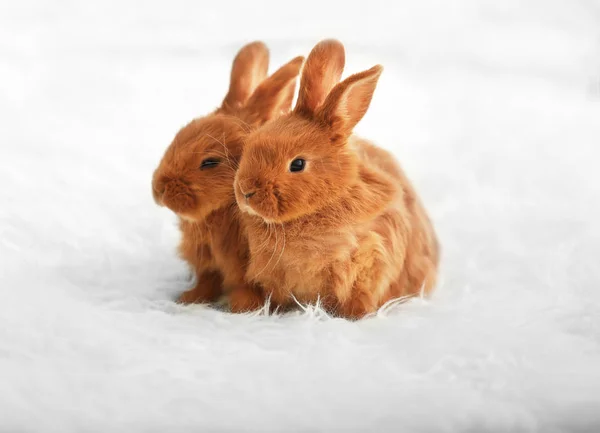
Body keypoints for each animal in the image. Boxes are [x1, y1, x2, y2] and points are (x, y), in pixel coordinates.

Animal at [152, 40, 302, 308]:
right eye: (178, 136)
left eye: (210, 162)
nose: (159, 189)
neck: (220, 211)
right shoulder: (206, 259)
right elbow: (207, 280)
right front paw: (189, 299)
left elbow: (246, 285)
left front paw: (243, 308)